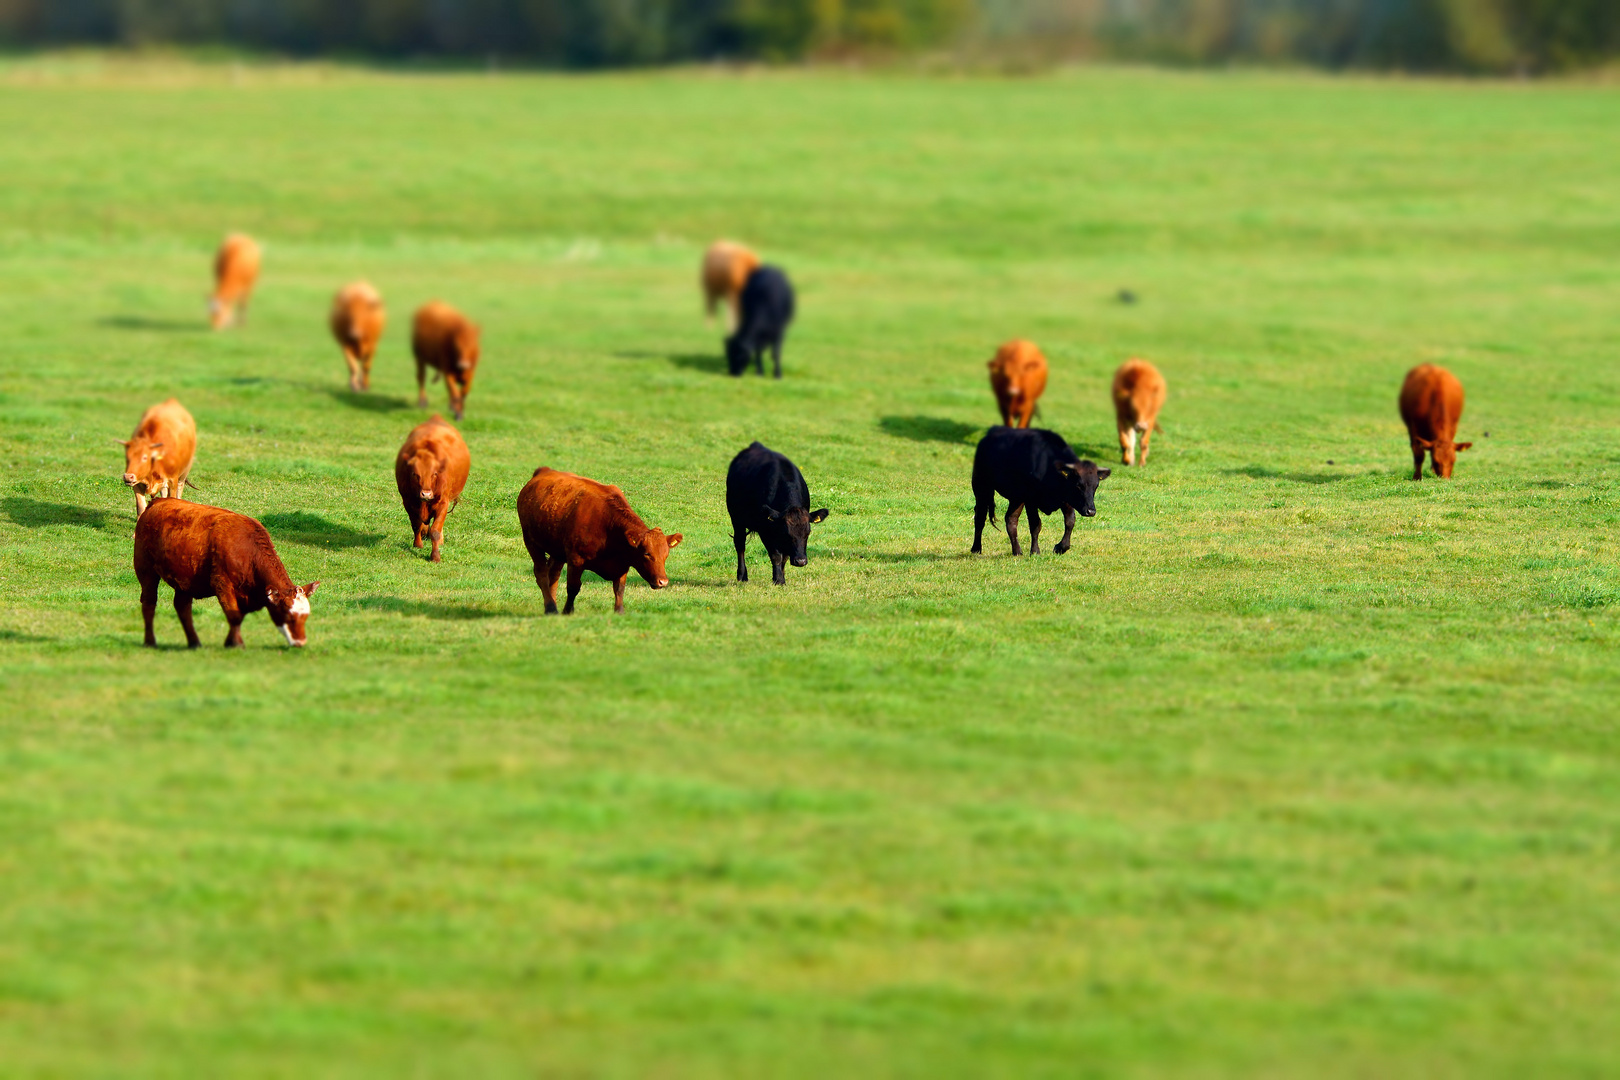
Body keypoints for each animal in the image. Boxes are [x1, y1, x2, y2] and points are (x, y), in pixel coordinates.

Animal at [136, 501, 322, 650]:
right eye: (289, 616)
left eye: (306, 616)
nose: (301, 643)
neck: (249, 551)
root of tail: (158, 501)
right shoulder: (222, 584)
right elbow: (234, 616)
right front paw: (237, 644)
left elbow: (239, 617)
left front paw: (230, 642)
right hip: (145, 569)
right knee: (149, 603)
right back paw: (150, 641)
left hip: (184, 579)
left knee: (183, 608)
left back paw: (194, 642)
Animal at [395, 417, 473, 566]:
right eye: (415, 474)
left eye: (435, 474)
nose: (426, 494)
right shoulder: (407, 501)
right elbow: (416, 525)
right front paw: (418, 544)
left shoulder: (443, 503)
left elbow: (435, 530)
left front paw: (435, 556)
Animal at [518, 466, 683, 615]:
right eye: (647, 554)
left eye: (666, 555)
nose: (663, 582)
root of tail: (544, 470)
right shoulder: (576, 560)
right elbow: (573, 587)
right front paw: (568, 611)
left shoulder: (622, 564)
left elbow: (619, 589)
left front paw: (619, 611)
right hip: (531, 542)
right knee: (541, 574)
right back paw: (551, 608)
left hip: (557, 550)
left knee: (553, 575)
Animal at [729, 443, 829, 586]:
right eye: (787, 533)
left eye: (808, 533)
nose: (801, 561)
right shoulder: (765, 530)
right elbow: (776, 556)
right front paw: (778, 580)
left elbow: (785, 557)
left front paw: (782, 577)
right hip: (736, 518)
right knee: (740, 544)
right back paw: (742, 575)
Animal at [965, 424, 1108, 557]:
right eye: (1078, 485)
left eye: (1096, 486)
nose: (1091, 511)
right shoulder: (1031, 500)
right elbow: (1035, 524)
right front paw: (1035, 551)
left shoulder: (1066, 499)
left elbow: (1070, 522)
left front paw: (1061, 547)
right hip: (981, 486)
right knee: (980, 516)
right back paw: (976, 548)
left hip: (1016, 497)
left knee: (1010, 519)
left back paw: (1017, 551)